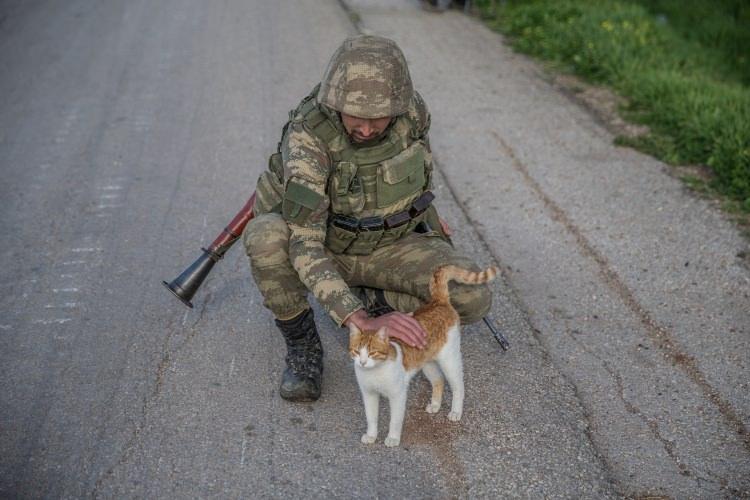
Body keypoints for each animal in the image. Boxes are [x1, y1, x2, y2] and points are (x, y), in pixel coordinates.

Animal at [348, 264, 500, 448]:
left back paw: (456, 411)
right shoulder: (369, 394)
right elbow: (371, 418)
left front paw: (393, 438)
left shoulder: (398, 395)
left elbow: (395, 420)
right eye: (357, 351)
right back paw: (435, 405)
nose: (362, 362)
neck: (375, 372)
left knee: (458, 386)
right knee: (439, 380)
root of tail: (438, 302)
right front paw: (371, 436)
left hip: (449, 360)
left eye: (372, 352)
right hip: (428, 365)